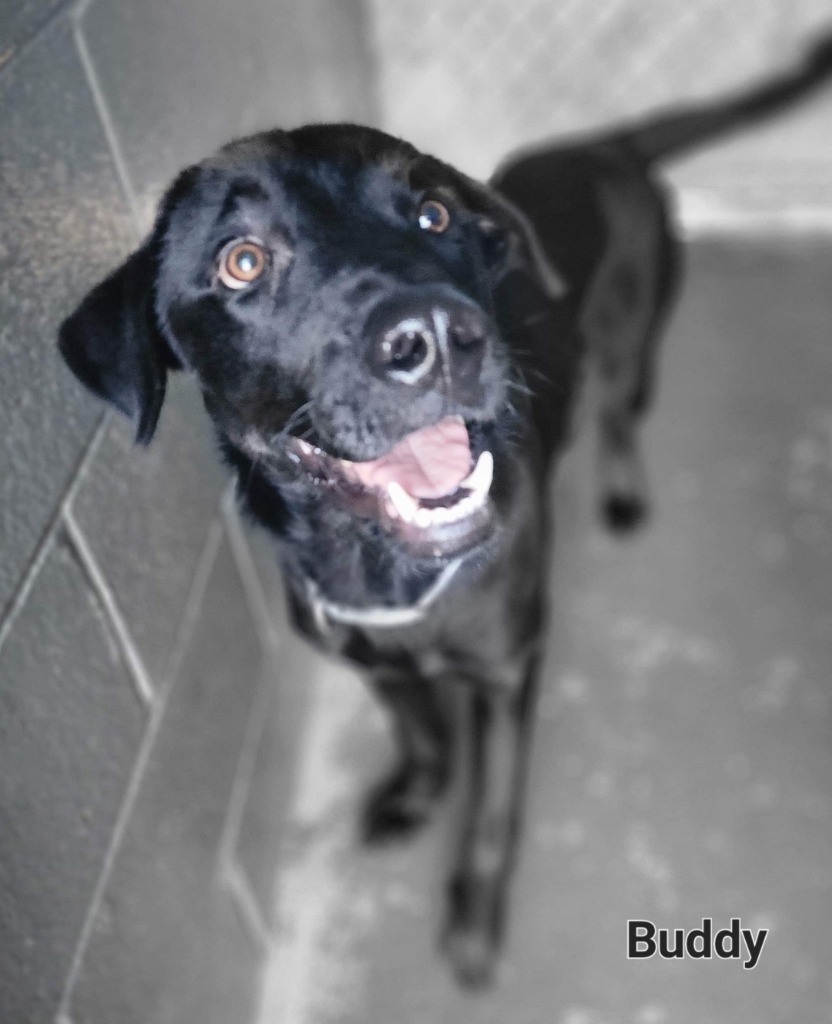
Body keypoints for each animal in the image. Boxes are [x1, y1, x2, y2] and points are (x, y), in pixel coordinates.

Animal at [58, 36, 832, 987]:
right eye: (242, 261)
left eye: (431, 215)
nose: (433, 335)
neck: (387, 573)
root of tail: (604, 145)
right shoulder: (373, 664)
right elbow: (422, 737)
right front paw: (418, 795)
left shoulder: (504, 673)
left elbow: (492, 813)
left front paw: (472, 921)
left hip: (629, 327)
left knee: (619, 408)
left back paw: (619, 485)